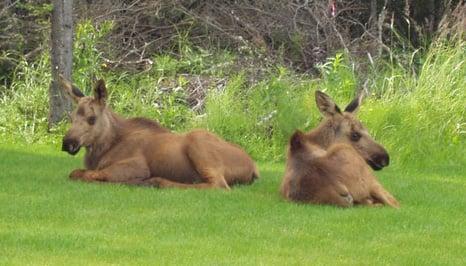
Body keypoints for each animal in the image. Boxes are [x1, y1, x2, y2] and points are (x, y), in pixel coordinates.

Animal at [58, 76, 258, 190]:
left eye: (91, 118)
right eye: (71, 117)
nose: (67, 143)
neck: (104, 148)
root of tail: (255, 168)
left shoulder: (137, 165)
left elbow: (84, 174)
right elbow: (77, 172)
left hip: (198, 140)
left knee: (218, 185)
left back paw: (157, 182)